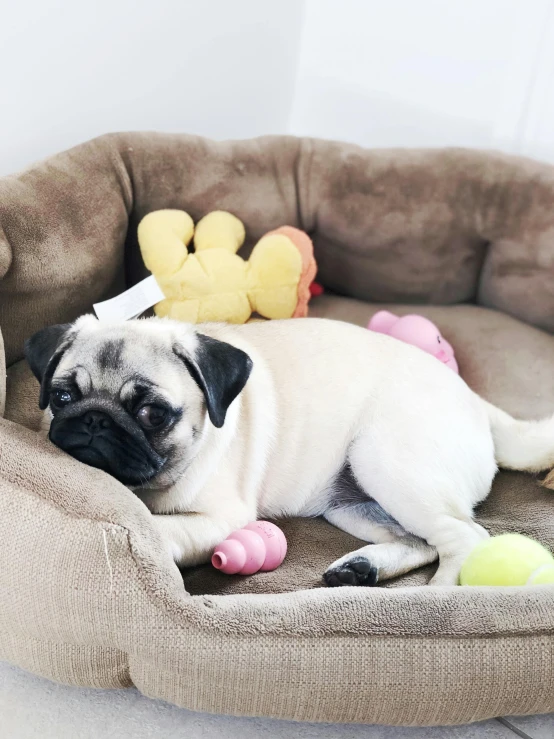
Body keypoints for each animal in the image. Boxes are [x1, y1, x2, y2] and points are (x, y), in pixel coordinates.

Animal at [23, 316, 548, 588]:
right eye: (63, 396)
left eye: (153, 413)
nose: (95, 421)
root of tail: (477, 403)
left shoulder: (222, 518)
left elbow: (156, 527)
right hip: (351, 505)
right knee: (423, 541)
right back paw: (362, 568)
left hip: (389, 465)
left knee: (465, 537)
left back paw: (436, 597)